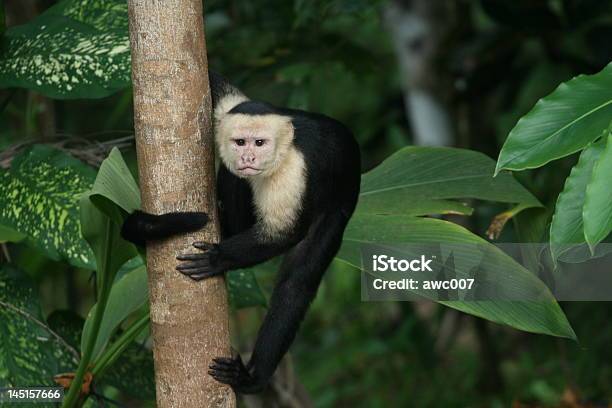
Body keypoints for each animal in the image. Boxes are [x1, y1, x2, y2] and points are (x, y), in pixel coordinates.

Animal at [121, 71, 360, 394]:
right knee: (232, 176)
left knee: (298, 281)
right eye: (240, 142)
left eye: (259, 143)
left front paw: (218, 258)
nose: (247, 158)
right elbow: (215, 83)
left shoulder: (292, 170)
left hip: (338, 206)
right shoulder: (230, 109)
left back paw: (253, 377)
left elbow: (283, 234)